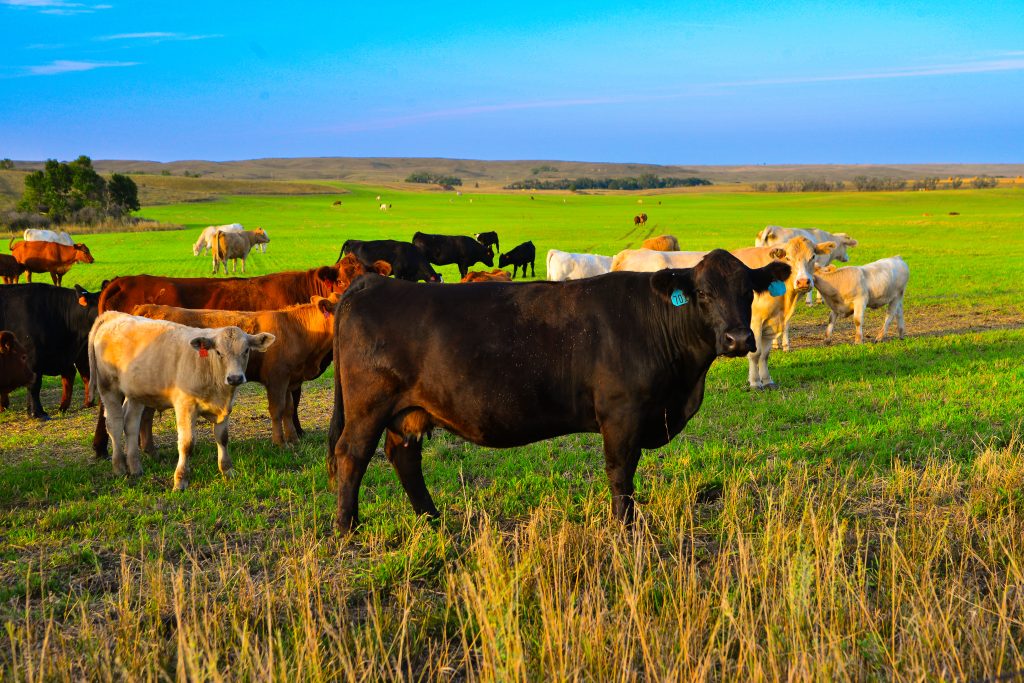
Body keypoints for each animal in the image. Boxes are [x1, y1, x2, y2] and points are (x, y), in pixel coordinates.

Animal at [130, 294, 339, 446]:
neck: (296, 330)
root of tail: (147, 308)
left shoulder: (289, 380)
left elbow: (288, 408)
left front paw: (293, 439)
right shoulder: (277, 379)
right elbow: (277, 410)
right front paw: (279, 442)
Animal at [327, 248, 790, 532]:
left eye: (748, 291)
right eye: (703, 294)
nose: (738, 339)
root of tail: (374, 284)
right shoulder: (622, 414)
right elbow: (621, 473)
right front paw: (625, 528)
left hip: (407, 411)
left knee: (404, 457)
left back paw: (432, 519)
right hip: (368, 406)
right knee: (351, 455)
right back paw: (348, 527)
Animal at [733, 236, 835, 389]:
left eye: (812, 256)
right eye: (787, 258)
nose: (803, 282)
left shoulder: (771, 322)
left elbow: (764, 355)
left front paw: (767, 381)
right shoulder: (755, 321)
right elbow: (755, 354)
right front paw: (755, 382)